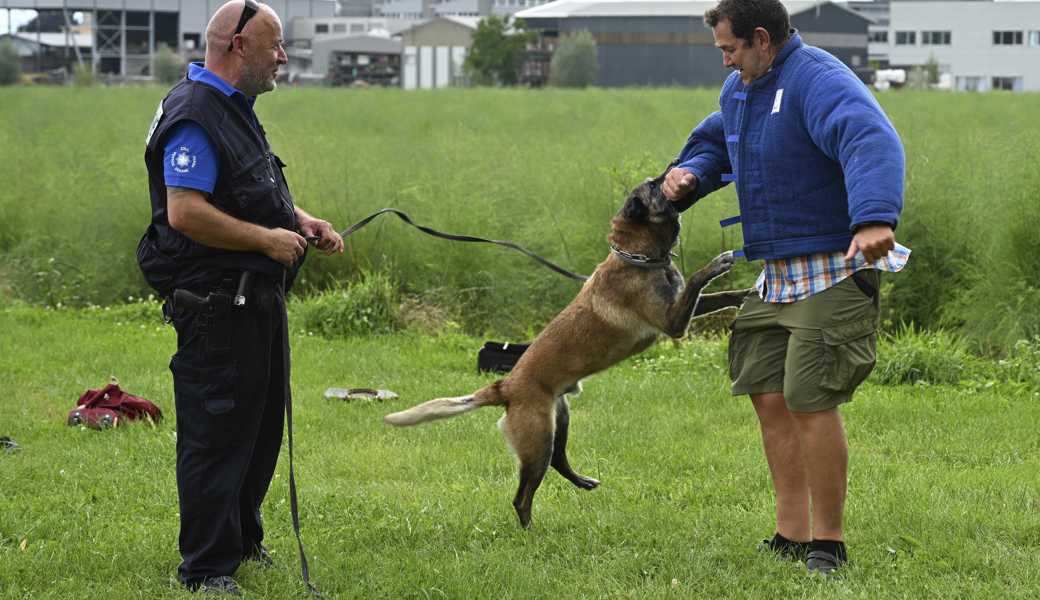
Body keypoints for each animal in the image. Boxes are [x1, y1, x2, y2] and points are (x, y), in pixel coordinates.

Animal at [382, 166, 748, 526]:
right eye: (655, 186)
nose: (676, 169)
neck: (639, 257)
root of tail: (505, 386)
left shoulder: (681, 308)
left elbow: (721, 295)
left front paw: (745, 294)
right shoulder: (672, 322)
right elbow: (700, 280)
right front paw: (718, 263)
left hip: (560, 420)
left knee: (558, 462)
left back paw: (584, 481)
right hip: (538, 439)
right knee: (521, 497)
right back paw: (530, 531)